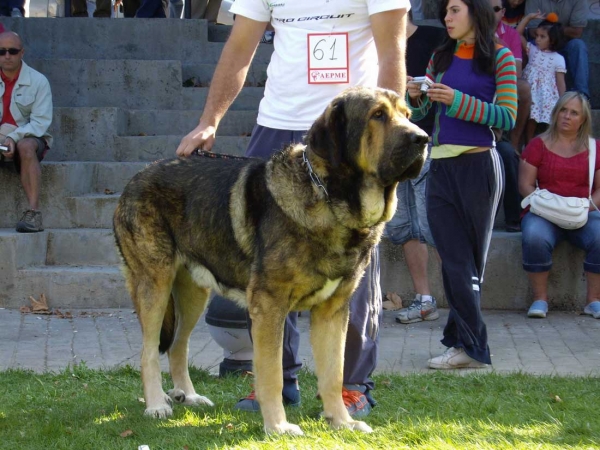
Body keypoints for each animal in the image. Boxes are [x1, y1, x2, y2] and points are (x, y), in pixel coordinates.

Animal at [112, 86, 428, 434]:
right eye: (378, 115)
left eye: (407, 115)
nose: (423, 139)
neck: (330, 199)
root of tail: (137, 176)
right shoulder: (269, 305)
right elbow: (273, 373)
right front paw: (278, 426)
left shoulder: (332, 311)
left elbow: (334, 374)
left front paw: (341, 421)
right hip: (154, 285)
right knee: (149, 350)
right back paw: (156, 404)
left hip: (194, 291)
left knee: (178, 344)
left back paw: (189, 395)